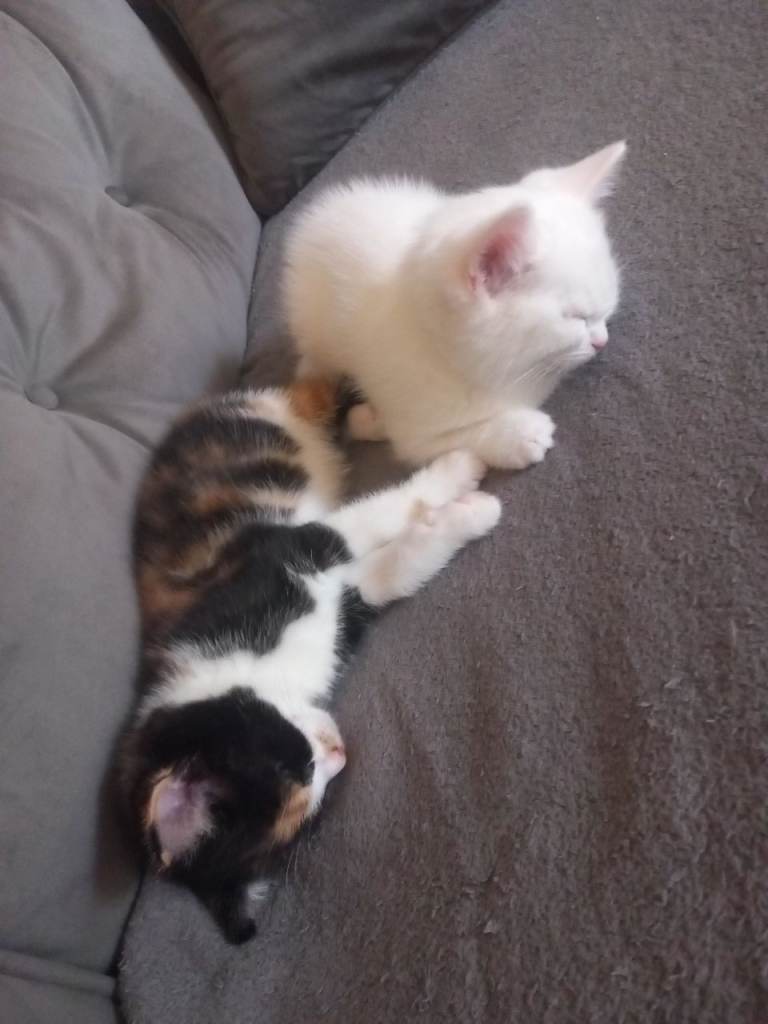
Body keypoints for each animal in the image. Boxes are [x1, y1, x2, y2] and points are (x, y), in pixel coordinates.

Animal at [121, 380, 500, 943]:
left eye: (292, 762)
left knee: (317, 397)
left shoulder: (283, 553)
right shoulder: (342, 602)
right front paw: (467, 513)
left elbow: (369, 518)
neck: (240, 668)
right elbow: (392, 571)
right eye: (309, 789)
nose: (340, 753)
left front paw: (463, 475)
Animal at [283, 141, 626, 469]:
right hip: (313, 322)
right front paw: (517, 435)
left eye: (606, 309)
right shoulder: (416, 425)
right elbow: (440, 441)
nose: (602, 341)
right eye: (576, 317)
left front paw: (368, 418)